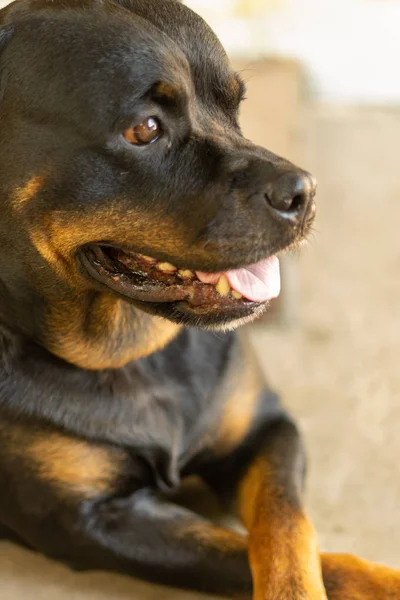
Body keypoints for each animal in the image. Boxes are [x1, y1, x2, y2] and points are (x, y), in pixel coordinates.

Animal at [0, 0, 400, 596]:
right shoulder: (95, 525)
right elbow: (243, 552)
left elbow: (289, 528)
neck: (134, 356)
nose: (303, 191)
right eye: (145, 129)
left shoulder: (266, 428)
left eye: (236, 106)